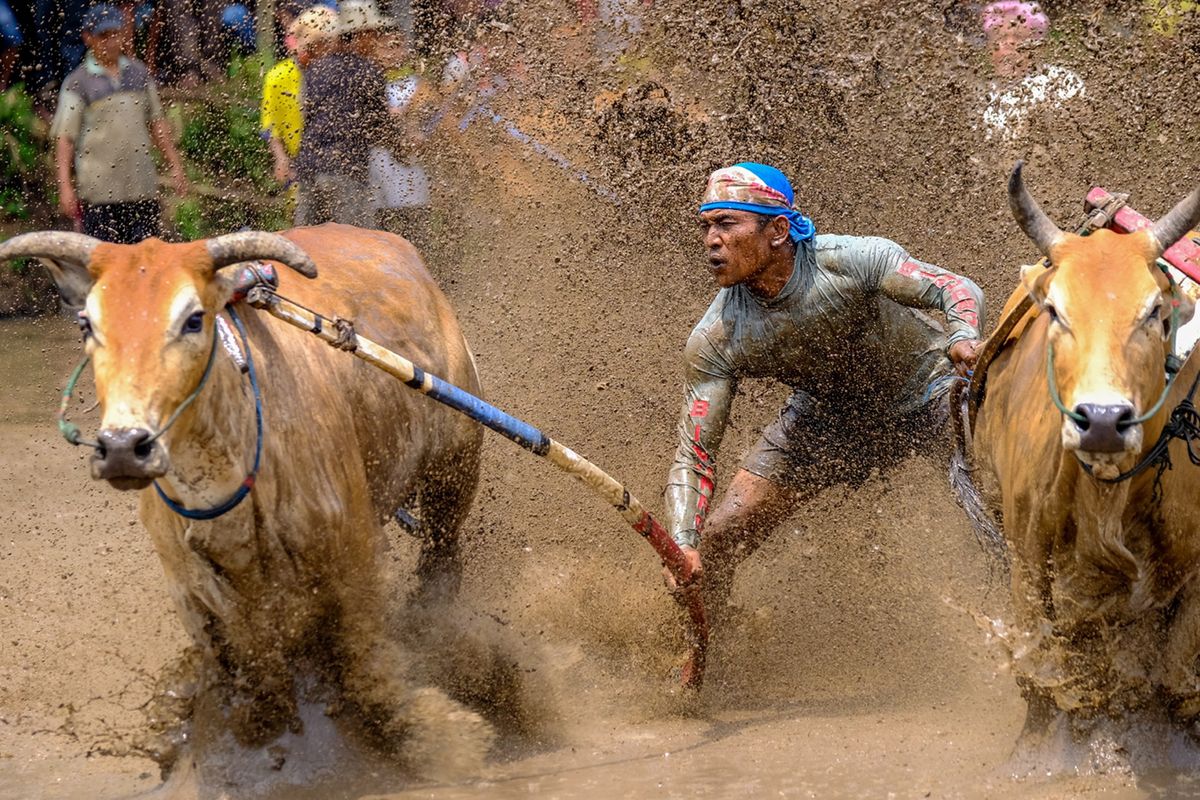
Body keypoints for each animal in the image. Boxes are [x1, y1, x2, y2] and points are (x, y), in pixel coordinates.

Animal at [0, 224, 492, 786]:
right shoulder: (199, 598)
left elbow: (368, 674)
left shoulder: (356, 559)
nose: (124, 446)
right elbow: (261, 690)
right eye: (88, 322)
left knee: (441, 563)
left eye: (194, 319)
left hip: (454, 472)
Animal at [969, 164, 1200, 758]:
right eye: (1056, 310)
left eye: (1155, 312)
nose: (1100, 418)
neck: (1107, 498)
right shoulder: (1027, 559)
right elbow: (1043, 669)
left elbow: (1173, 680)